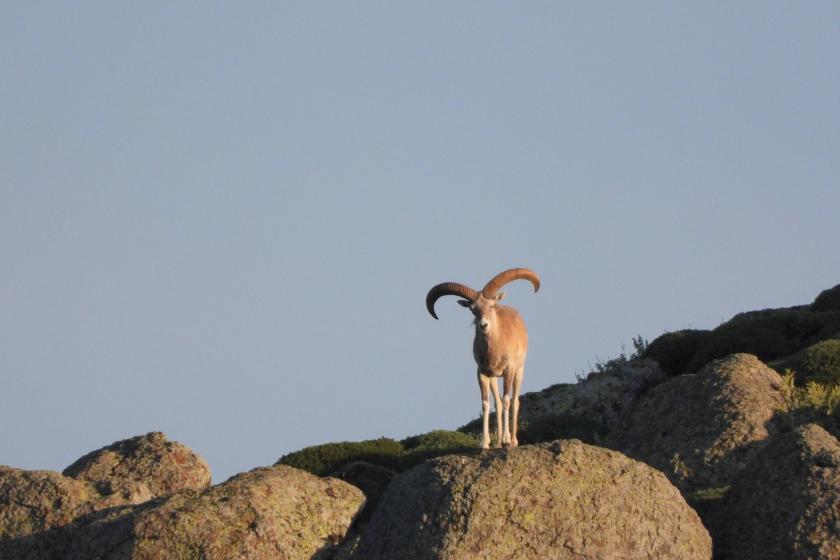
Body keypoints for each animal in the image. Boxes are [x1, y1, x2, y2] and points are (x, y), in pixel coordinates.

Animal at [426, 268, 540, 450]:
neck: (496, 348)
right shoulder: (482, 372)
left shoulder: (509, 370)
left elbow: (507, 400)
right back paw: (498, 442)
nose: (483, 325)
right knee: (497, 403)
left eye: (491, 306)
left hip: (519, 371)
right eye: (473, 309)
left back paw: (512, 440)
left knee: (514, 401)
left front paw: (507, 440)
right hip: (494, 378)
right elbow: (486, 404)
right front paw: (485, 443)